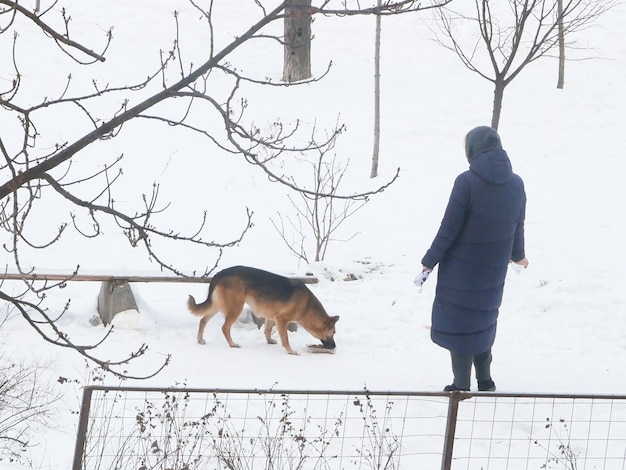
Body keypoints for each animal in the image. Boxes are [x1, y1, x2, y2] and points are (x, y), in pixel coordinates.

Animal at [188, 266, 338, 354]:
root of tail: (220, 273)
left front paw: (269, 341)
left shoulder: (271, 317)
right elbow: (285, 338)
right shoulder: (281, 320)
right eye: (332, 333)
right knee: (225, 327)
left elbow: (267, 330)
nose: (334, 347)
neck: (307, 306)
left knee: (203, 320)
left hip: (218, 305)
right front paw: (290, 351)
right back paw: (232, 344)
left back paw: (200, 339)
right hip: (235, 308)